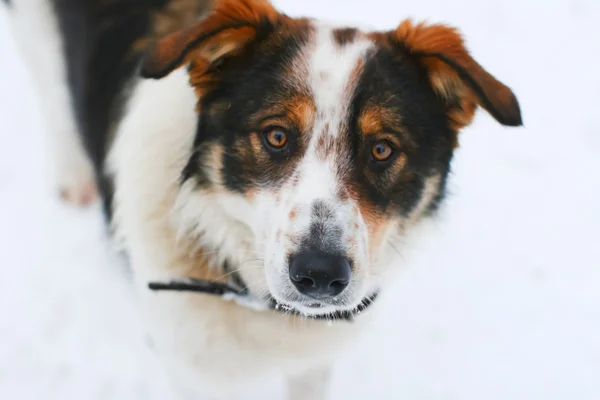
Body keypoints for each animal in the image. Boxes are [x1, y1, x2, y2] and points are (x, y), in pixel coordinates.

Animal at [1, 0, 520, 396]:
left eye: (382, 149)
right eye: (276, 136)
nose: (319, 274)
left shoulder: (312, 360)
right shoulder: (190, 371)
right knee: (52, 92)